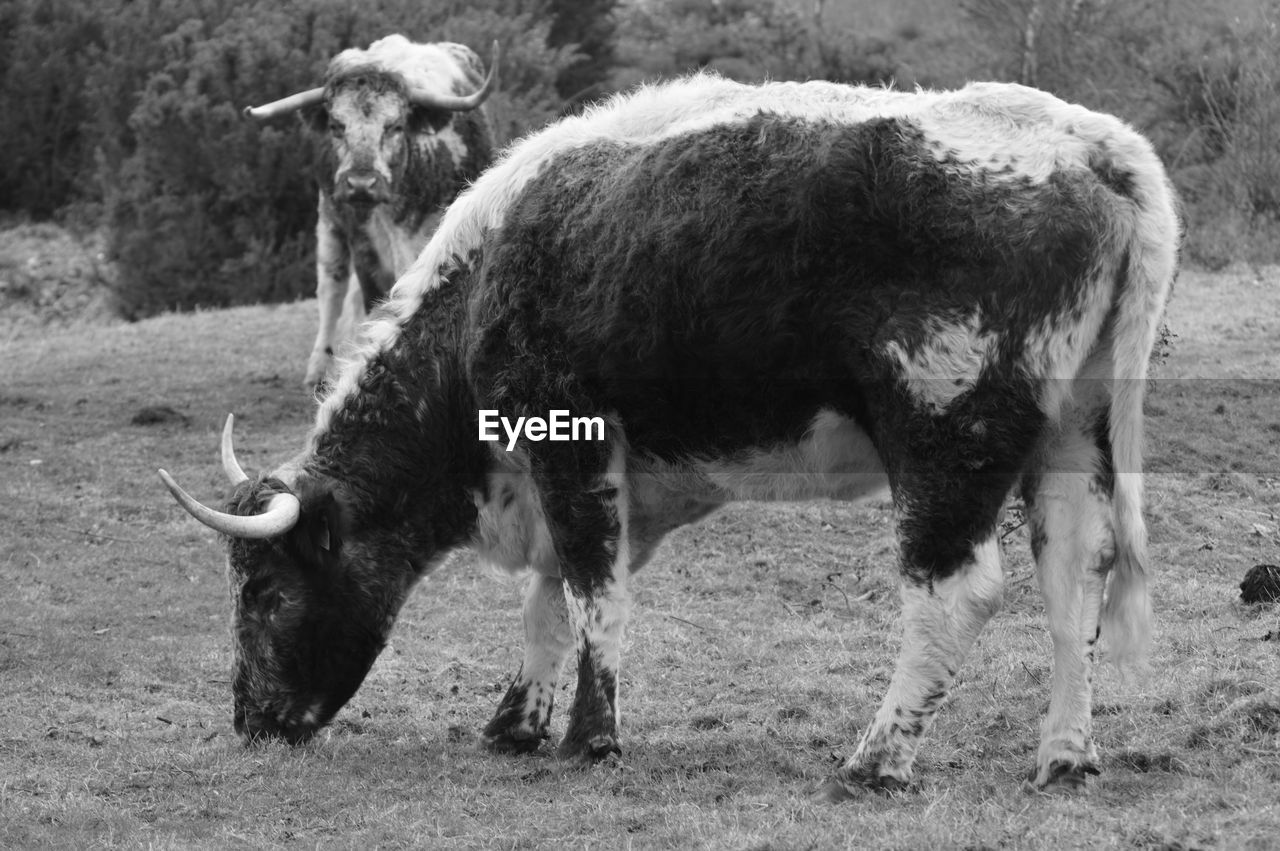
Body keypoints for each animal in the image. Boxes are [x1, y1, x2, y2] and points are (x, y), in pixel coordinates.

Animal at [165, 74, 1182, 798]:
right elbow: (550, 597)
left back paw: (876, 759)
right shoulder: (605, 478)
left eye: (263, 589)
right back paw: (1066, 754)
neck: (490, 273)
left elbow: (591, 593)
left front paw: (590, 738)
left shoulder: (568, 442)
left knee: (957, 591)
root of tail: (1089, 142)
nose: (252, 720)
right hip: (1073, 434)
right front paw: (517, 722)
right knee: (1073, 578)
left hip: (943, 435)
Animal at [244, 34, 499, 389]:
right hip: (330, 223)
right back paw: (320, 365)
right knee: (332, 290)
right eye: (337, 125)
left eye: (394, 126)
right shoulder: (362, 244)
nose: (360, 184)